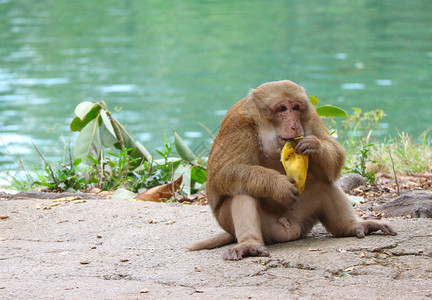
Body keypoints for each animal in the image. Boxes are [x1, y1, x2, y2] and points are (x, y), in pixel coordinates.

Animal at [190, 79, 398, 260]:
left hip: (303, 218)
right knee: (243, 189)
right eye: (282, 108)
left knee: (322, 182)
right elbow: (222, 172)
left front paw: (315, 147)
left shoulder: (310, 116)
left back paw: (351, 227)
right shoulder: (237, 122)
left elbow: (336, 153)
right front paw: (277, 185)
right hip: (258, 226)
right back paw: (250, 244)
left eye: (296, 108)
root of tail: (290, 230)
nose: (294, 124)